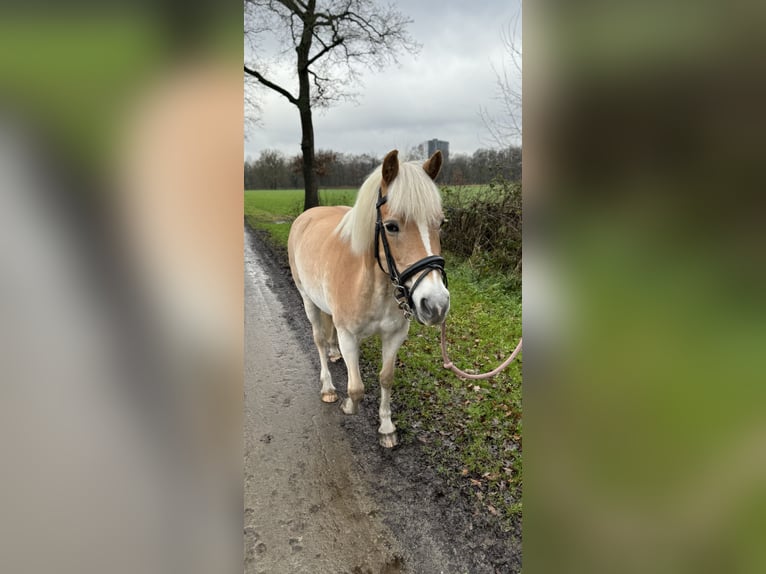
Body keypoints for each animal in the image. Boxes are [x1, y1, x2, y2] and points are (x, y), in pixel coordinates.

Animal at [292, 148, 452, 450]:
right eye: (391, 226)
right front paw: (347, 406)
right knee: (319, 339)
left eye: (440, 223)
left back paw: (333, 354)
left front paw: (387, 428)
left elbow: (386, 378)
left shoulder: (394, 336)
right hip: (307, 299)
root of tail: (306, 215)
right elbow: (356, 388)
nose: (436, 304)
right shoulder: (348, 336)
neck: (372, 285)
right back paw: (328, 388)